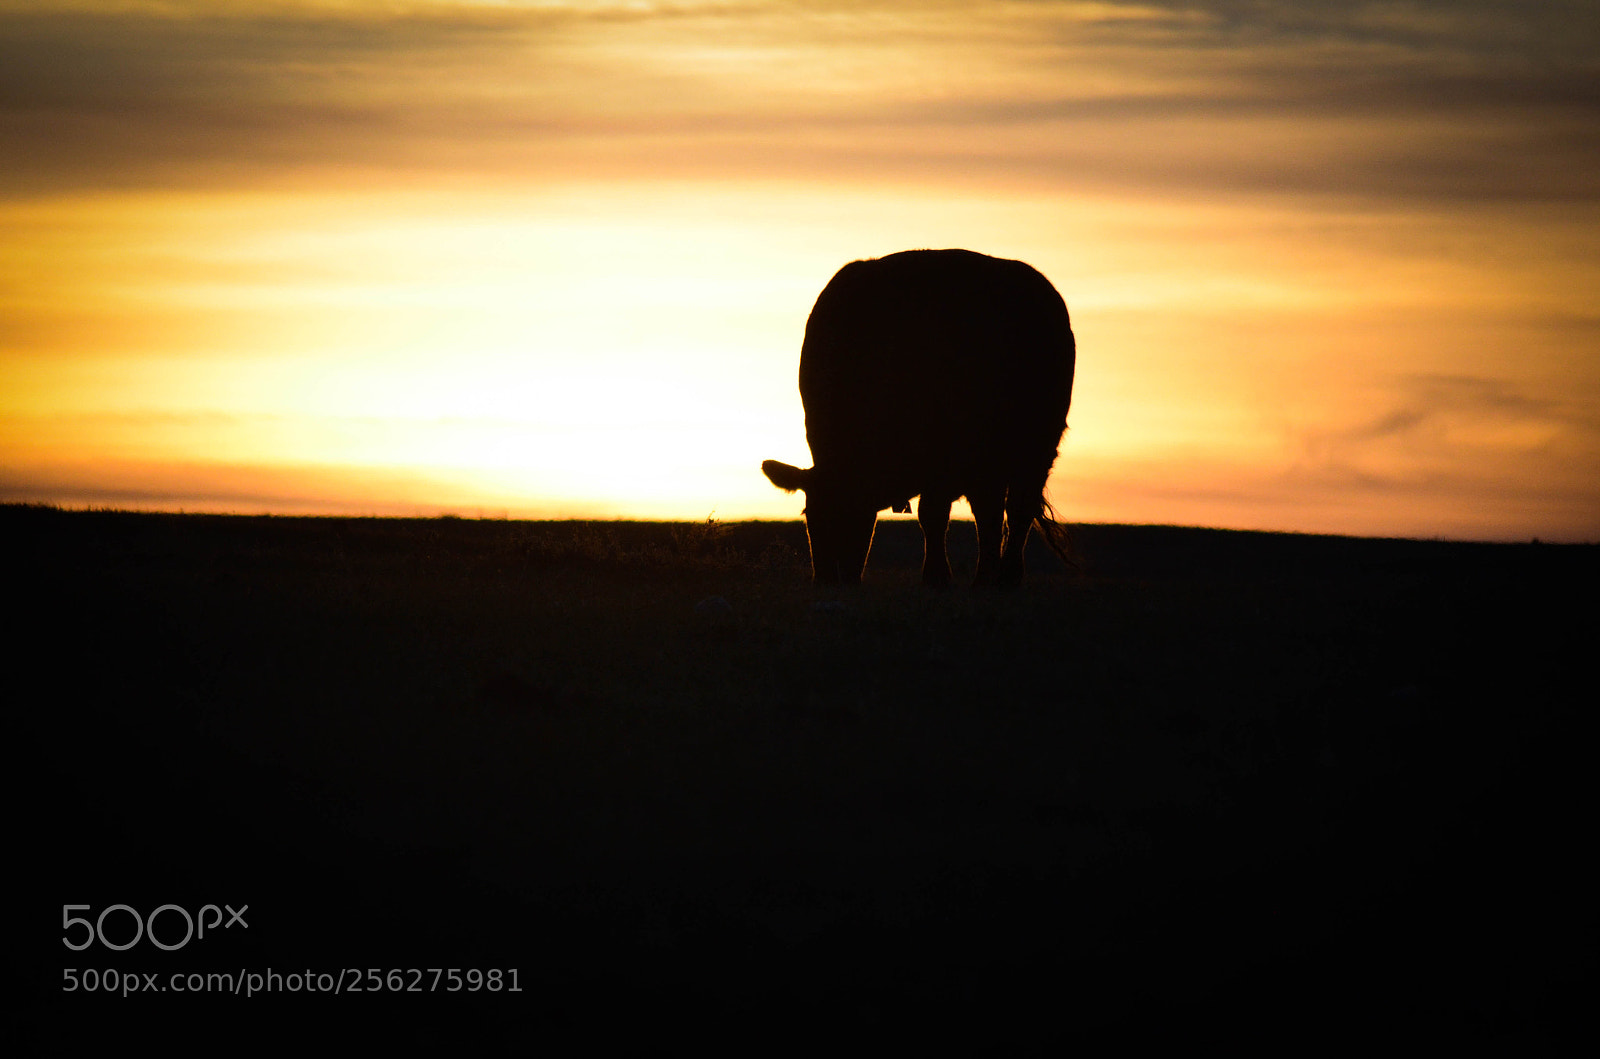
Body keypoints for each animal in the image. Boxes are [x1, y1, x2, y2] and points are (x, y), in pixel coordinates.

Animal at [762, 248, 1076, 587]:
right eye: (809, 516)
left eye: (857, 511)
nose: (828, 580)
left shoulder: (947, 454)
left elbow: (932, 514)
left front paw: (936, 576)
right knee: (989, 513)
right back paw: (986, 577)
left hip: (1036, 446)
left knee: (1018, 509)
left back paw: (1005, 578)